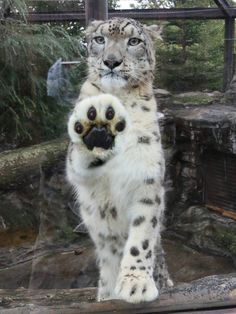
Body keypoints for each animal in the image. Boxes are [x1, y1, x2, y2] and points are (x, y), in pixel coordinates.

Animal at [66, 17, 173, 304]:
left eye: (133, 41)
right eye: (100, 39)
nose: (111, 61)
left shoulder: (147, 179)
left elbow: (142, 238)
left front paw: (136, 284)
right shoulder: (76, 168)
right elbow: (77, 159)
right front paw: (97, 117)